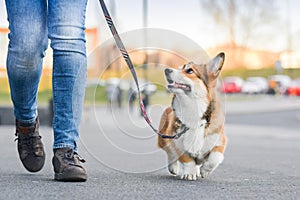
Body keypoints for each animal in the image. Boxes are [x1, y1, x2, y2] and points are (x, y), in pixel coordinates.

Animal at [158, 52, 226, 180]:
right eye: (179, 68)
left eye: (189, 70)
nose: (166, 69)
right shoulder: (177, 143)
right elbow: (187, 159)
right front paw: (189, 173)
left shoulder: (220, 142)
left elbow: (215, 157)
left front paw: (205, 171)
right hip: (163, 139)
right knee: (170, 153)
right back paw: (173, 167)